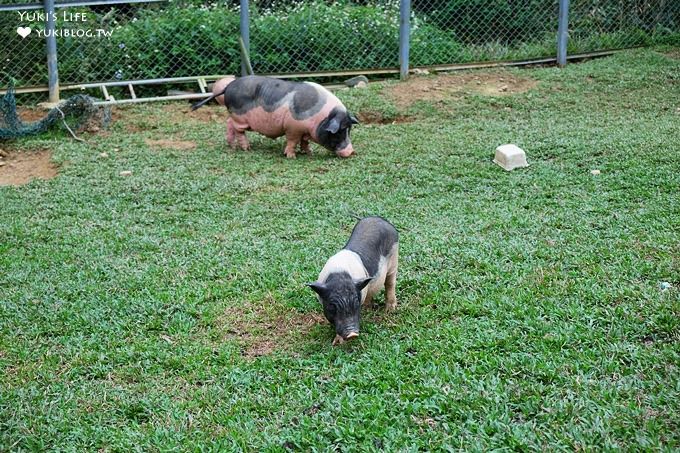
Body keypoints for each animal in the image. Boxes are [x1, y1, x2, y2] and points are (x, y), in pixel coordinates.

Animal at [194, 75, 358, 157]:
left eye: (349, 130)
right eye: (340, 131)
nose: (351, 152)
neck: (321, 117)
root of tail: (228, 86)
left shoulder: (303, 131)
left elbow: (305, 142)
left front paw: (309, 153)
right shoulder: (293, 127)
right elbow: (292, 141)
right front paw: (291, 156)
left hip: (234, 116)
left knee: (228, 123)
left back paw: (232, 146)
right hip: (239, 117)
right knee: (239, 131)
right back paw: (246, 148)